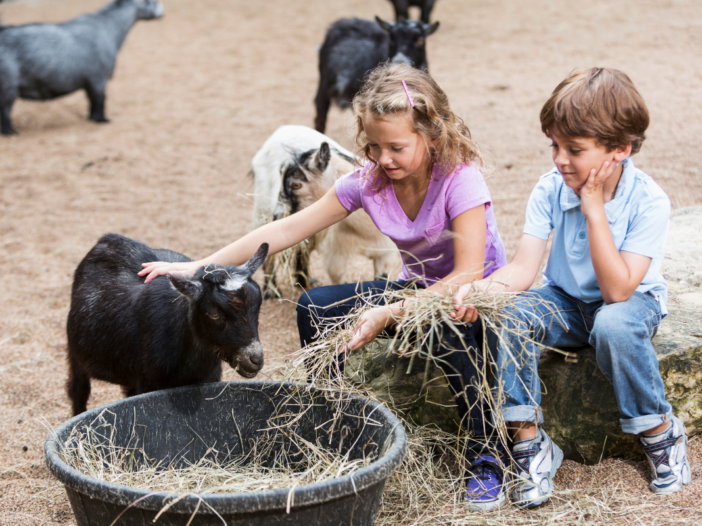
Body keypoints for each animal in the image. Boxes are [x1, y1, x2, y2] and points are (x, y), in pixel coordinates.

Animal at [0, 0, 164, 136]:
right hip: (8, 85)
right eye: (150, 1)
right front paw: (101, 119)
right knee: (4, 110)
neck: (107, 28)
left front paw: (91, 118)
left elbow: (91, 100)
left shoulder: (89, 82)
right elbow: (99, 100)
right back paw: (9, 132)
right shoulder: (98, 78)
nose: (162, 11)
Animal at [66, 235, 270, 416]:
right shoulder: (149, 382)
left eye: (258, 307)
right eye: (214, 314)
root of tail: (108, 239)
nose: (255, 359)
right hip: (76, 355)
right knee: (78, 390)